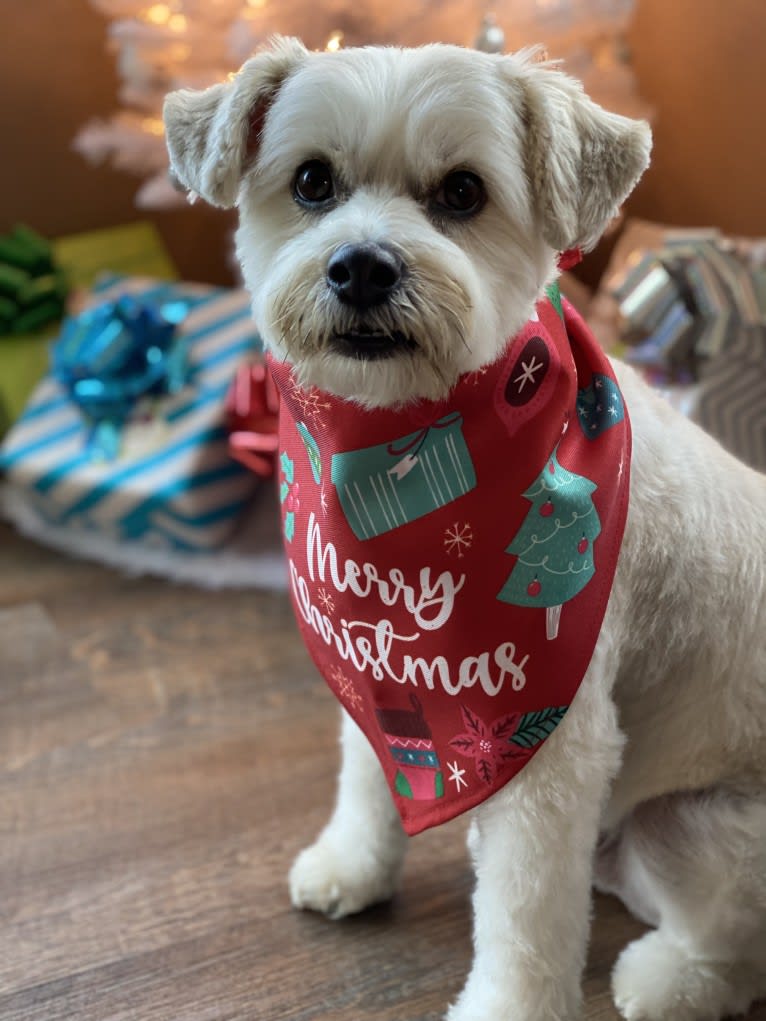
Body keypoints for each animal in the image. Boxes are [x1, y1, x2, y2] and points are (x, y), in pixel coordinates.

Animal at [163, 35, 766, 1021]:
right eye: (313, 181)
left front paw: (507, 1006)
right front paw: (354, 863)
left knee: (735, 947)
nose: (362, 266)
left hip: (691, 825)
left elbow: (524, 917)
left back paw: (669, 979)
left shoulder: (553, 747)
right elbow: (369, 769)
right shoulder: (377, 652)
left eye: (462, 192)